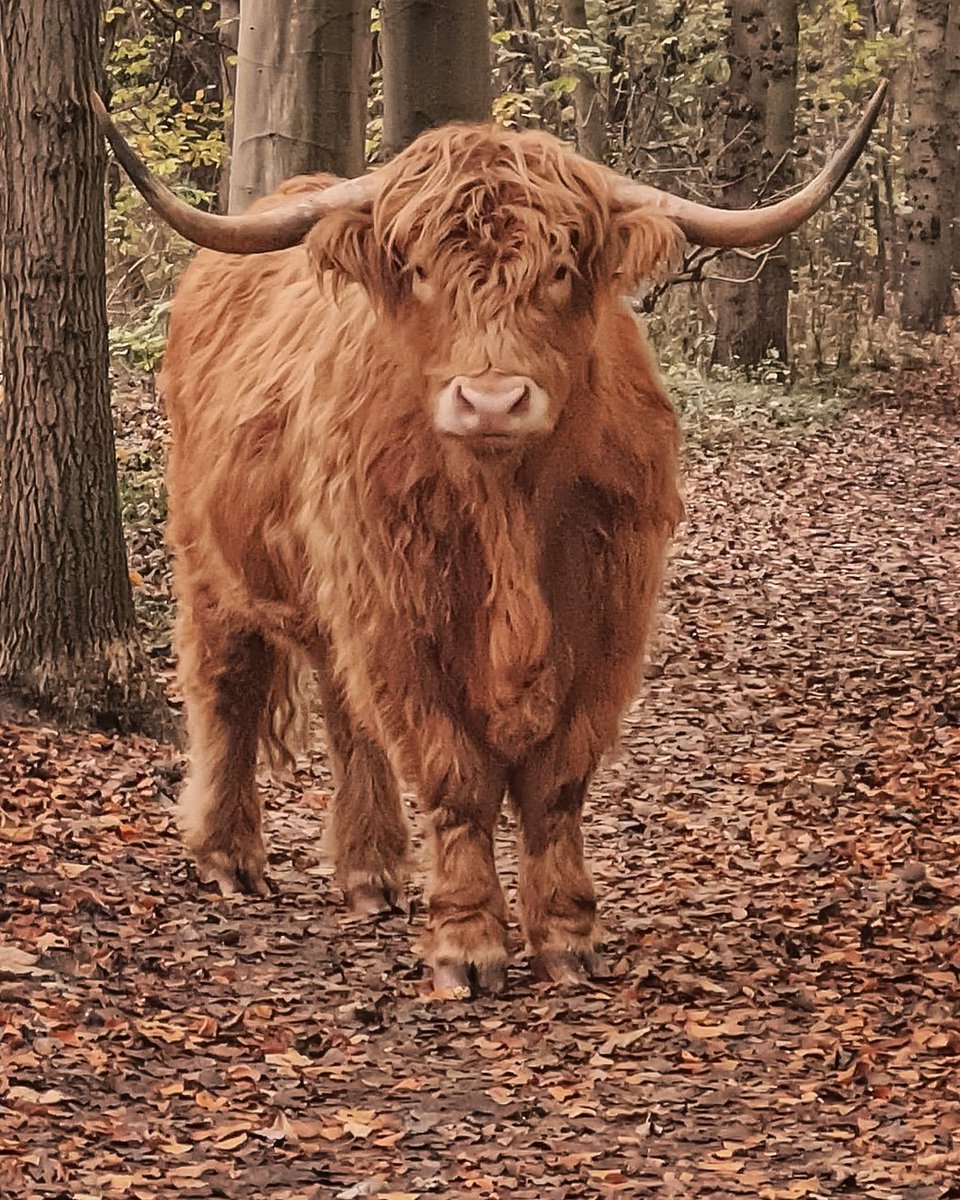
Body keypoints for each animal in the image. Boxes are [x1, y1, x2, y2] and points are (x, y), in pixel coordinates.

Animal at [94, 87, 885, 994]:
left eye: (560, 271)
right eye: (420, 271)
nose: (493, 401)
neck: (509, 510)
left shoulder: (608, 617)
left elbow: (557, 781)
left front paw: (567, 935)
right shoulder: (401, 616)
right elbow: (457, 778)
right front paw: (466, 943)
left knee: (347, 716)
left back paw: (372, 873)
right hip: (214, 559)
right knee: (227, 687)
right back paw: (228, 856)